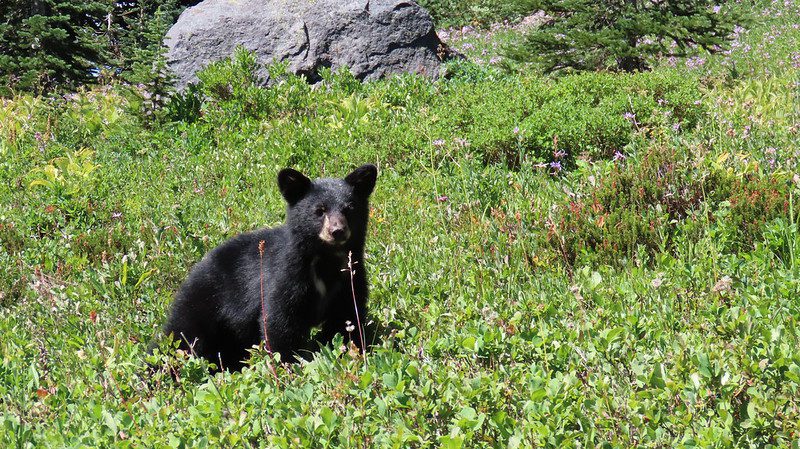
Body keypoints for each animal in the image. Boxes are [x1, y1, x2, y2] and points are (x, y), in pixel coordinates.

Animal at [161, 164, 377, 370]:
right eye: (319, 210)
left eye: (349, 209)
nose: (337, 231)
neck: (326, 259)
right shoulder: (287, 275)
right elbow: (280, 320)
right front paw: (287, 365)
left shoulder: (350, 277)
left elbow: (346, 317)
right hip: (202, 303)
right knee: (180, 338)